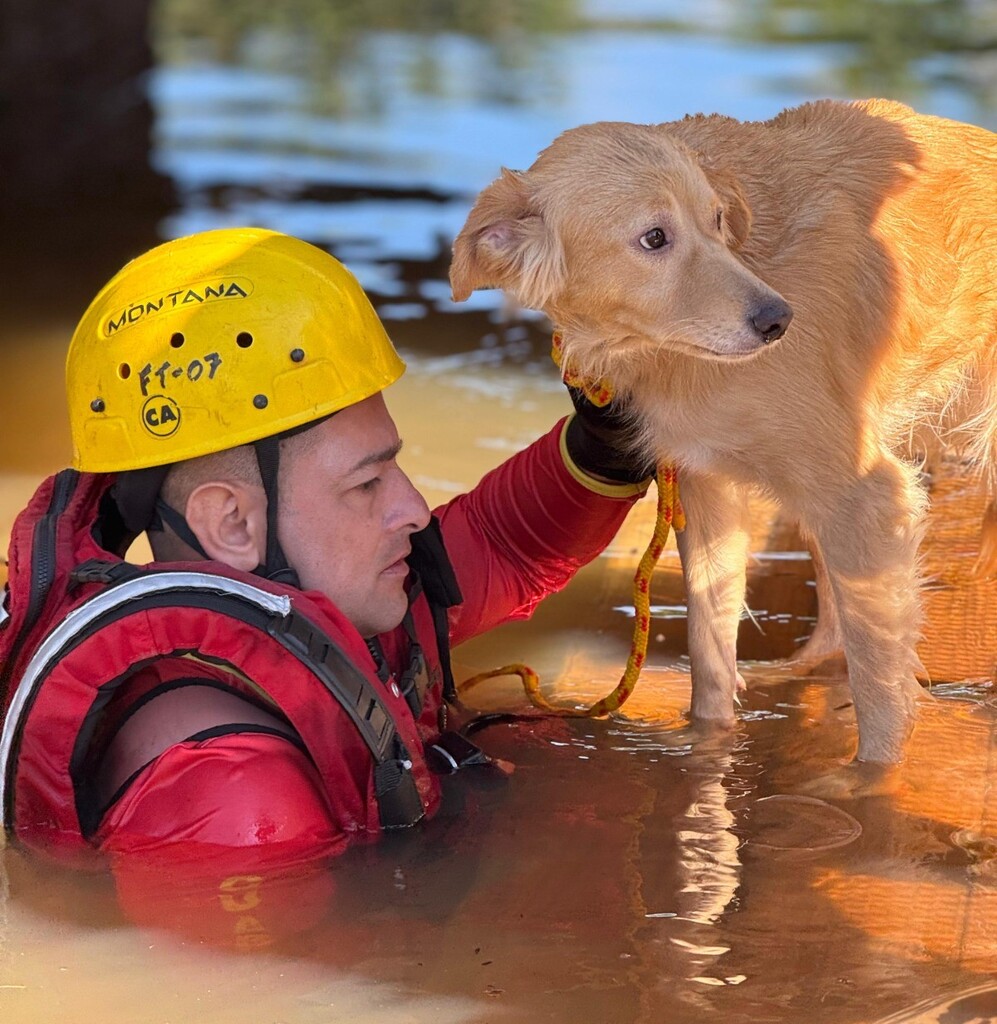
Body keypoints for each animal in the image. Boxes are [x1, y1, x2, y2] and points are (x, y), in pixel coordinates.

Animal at [450, 99, 997, 765]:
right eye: (654, 238)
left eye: (716, 221)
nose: (779, 320)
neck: (664, 359)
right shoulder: (708, 491)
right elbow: (709, 656)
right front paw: (707, 752)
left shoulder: (868, 494)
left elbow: (881, 702)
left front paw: (876, 779)